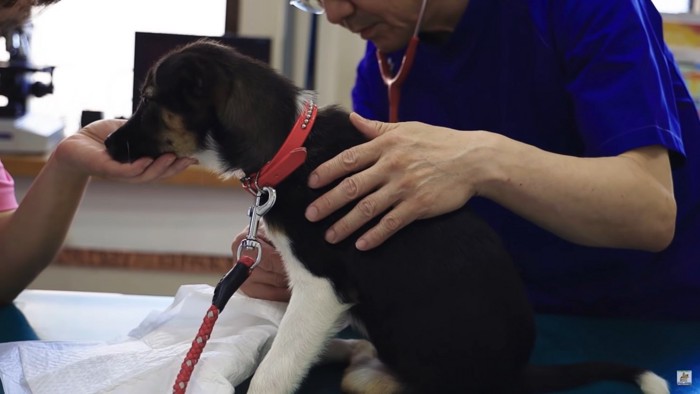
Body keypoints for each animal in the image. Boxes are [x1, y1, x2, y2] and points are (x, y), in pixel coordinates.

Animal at [102, 40, 668, 394]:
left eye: (148, 101)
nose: (107, 146)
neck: (289, 143)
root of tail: (516, 374)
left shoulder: (322, 287)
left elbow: (275, 373)